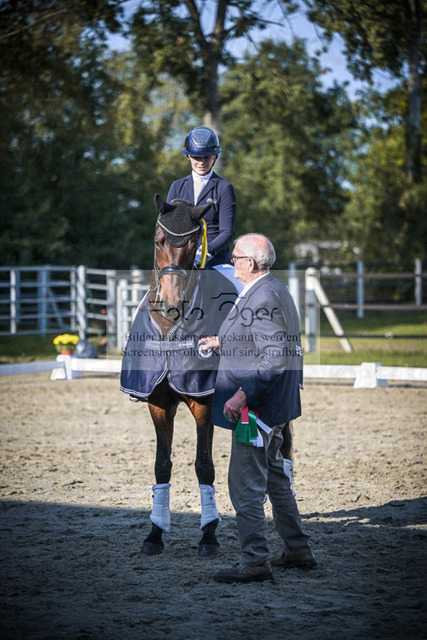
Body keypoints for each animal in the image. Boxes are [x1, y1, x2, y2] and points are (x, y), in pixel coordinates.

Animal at [120, 194, 238, 558]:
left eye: (192, 245)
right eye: (159, 241)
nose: (171, 304)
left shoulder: (203, 403)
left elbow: (204, 466)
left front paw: (209, 536)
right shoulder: (157, 403)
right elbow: (162, 464)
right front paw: (154, 534)